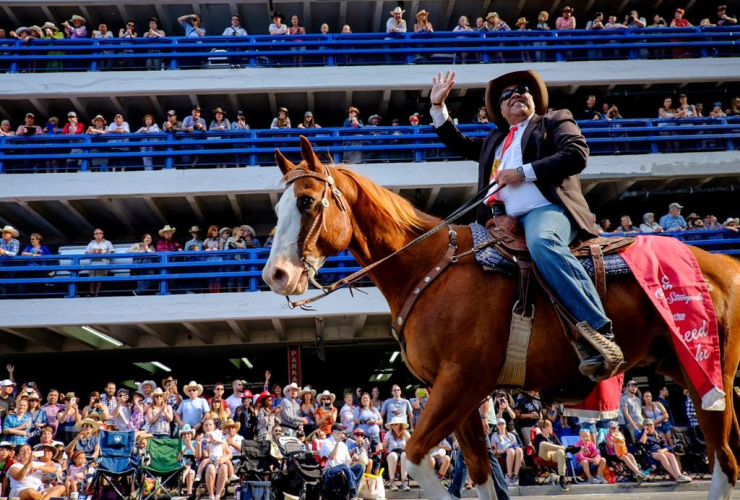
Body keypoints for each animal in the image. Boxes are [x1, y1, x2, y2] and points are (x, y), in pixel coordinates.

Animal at [264, 136, 740, 500]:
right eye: (275, 212)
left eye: (306, 201)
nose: (275, 275)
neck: (428, 267)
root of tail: (722, 262)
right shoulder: (455, 392)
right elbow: (478, 474)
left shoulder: (462, 381)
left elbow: (419, 460)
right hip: (684, 370)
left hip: (709, 373)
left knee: (726, 461)